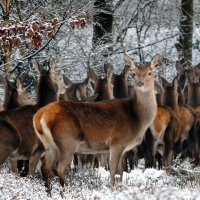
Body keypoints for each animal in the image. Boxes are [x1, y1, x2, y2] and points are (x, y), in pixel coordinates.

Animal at [33, 53, 159, 192]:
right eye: (134, 73)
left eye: (150, 73)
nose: (140, 83)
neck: (137, 118)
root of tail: (40, 115)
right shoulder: (117, 142)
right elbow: (113, 170)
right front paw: (112, 189)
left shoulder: (122, 148)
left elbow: (120, 171)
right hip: (67, 141)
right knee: (58, 168)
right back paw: (67, 190)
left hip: (50, 145)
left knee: (45, 168)